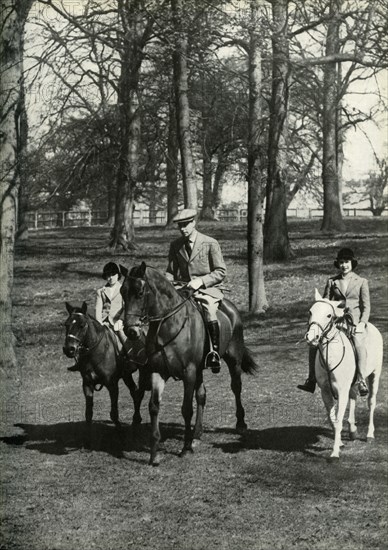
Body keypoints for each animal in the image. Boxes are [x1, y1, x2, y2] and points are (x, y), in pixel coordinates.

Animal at [63, 302, 149, 432]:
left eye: (82, 325)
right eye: (66, 324)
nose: (69, 349)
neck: (96, 352)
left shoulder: (112, 385)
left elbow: (114, 413)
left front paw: (119, 430)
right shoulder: (87, 385)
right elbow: (88, 414)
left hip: (143, 370)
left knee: (139, 392)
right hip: (126, 375)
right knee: (135, 391)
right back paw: (136, 420)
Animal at [119, 264, 256, 466]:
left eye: (140, 292)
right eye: (122, 292)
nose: (130, 330)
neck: (167, 325)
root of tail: (230, 308)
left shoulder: (188, 372)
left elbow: (186, 409)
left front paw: (186, 448)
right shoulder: (158, 372)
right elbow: (154, 406)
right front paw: (154, 453)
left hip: (233, 360)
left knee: (236, 387)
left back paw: (241, 424)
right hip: (199, 370)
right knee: (201, 395)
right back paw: (197, 433)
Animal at [306, 288, 384, 462]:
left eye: (329, 315)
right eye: (310, 312)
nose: (311, 337)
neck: (330, 356)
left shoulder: (341, 392)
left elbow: (339, 418)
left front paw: (335, 453)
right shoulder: (325, 391)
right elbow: (333, 419)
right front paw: (340, 443)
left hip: (374, 374)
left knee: (371, 402)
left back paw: (369, 434)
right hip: (352, 384)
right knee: (354, 397)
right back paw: (353, 429)